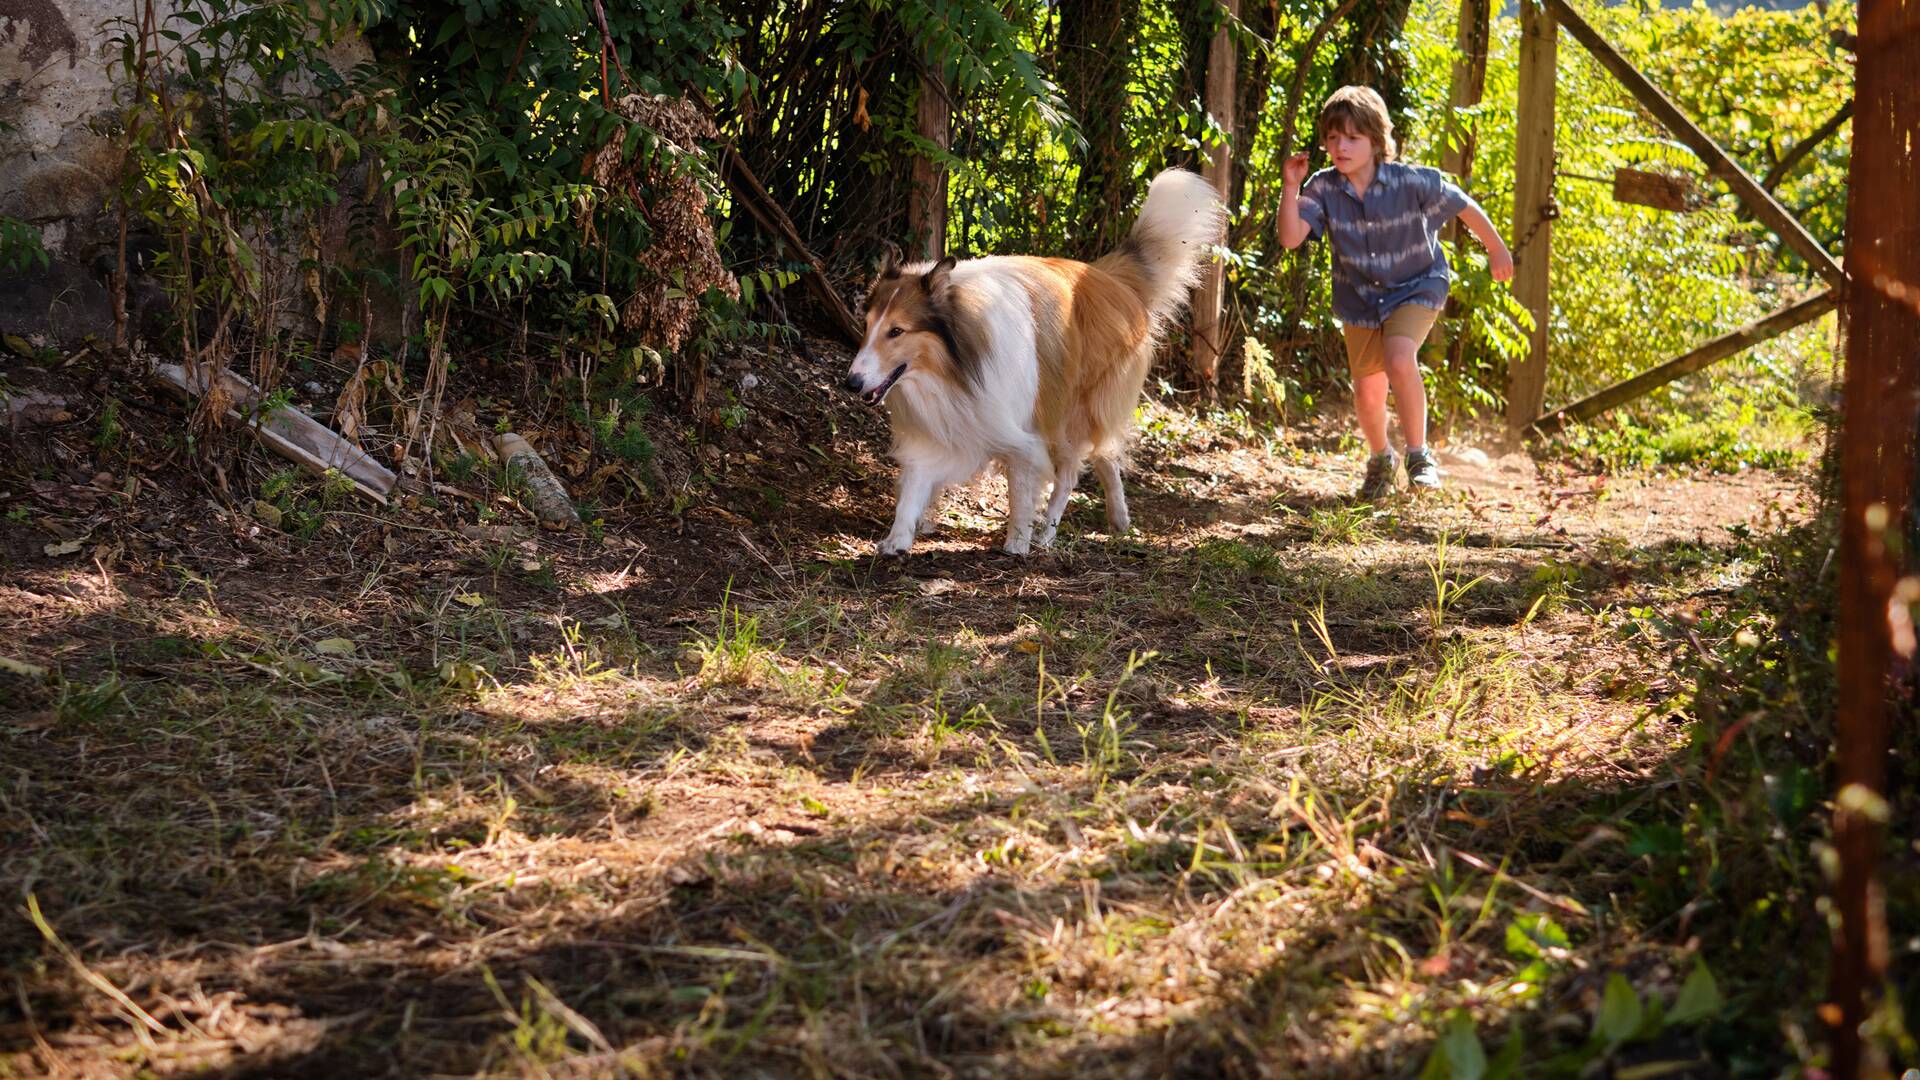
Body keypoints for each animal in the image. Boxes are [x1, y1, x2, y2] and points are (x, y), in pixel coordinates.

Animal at [848, 170, 1221, 553]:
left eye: (896, 331)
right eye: (867, 325)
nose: (851, 382)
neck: (955, 365)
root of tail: (1111, 278)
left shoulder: (1021, 432)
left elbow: (1021, 491)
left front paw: (1017, 541)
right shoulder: (939, 428)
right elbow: (914, 485)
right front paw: (898, 537)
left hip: (1071, 412)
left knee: (1071, 475)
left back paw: (1047, 534)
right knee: (1107, 455)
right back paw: (1119, 519)